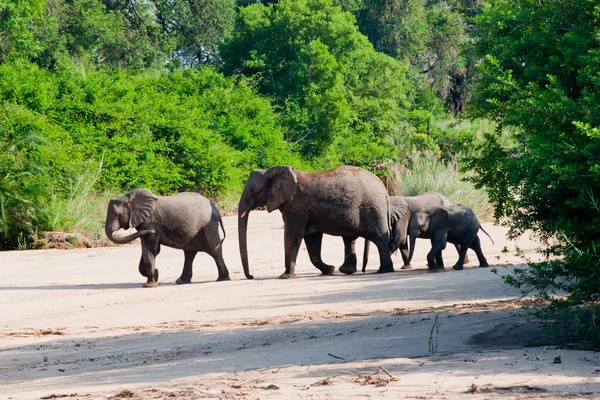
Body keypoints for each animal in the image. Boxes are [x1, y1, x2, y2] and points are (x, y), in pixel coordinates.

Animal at [237, 164, 396, 280]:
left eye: (252, 189)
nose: (251, 276)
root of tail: (384, 189)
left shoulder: (296, 206)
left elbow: (293, 235)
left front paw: (285, 277)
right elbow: (312, 239)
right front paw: (329, 270)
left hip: (373, 209)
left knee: (379, 238)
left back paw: (384, 270)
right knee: (349, 239)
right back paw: (347, 270)